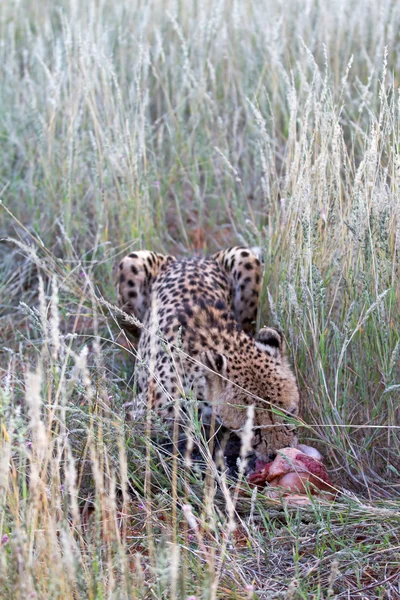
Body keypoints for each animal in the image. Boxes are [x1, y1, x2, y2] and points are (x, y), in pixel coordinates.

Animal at [117, 247, 298, 460]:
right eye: (253, 429)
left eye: (290, 413)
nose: (280, 453)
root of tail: (189, 259)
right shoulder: (141, 419)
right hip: (130, 267)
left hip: (245, 258)